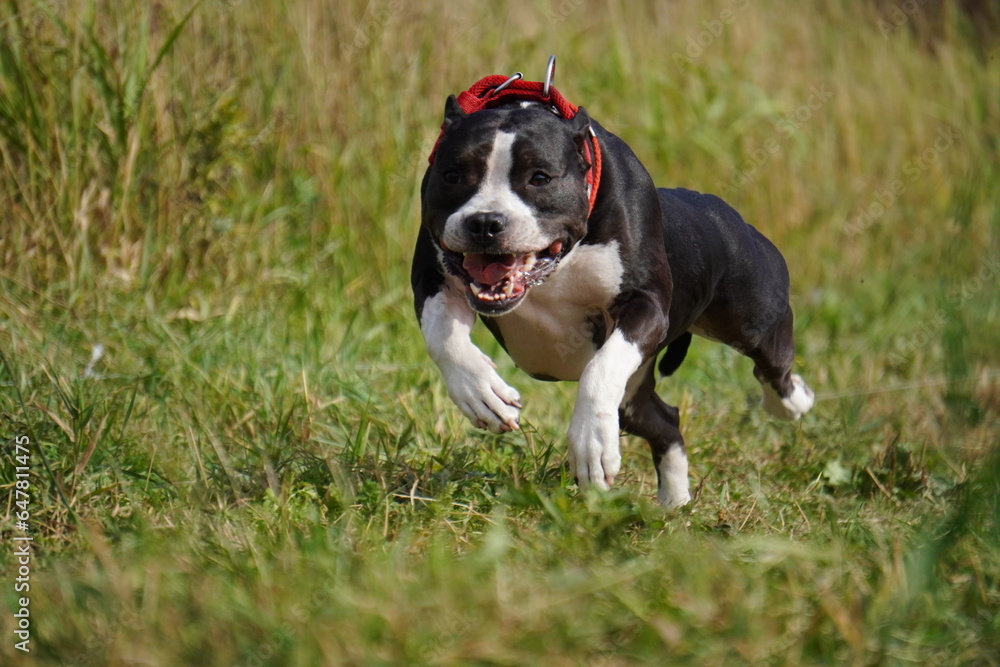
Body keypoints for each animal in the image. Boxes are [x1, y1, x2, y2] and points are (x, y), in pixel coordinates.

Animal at [410, 69, 808, 506]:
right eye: (451, 174)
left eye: (540, 178)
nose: (484, 222)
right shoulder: (433, 280)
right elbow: (443, 337)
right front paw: (481, 391)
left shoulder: (645, 304)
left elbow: (601, 368)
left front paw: (591, 444)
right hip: (633, 399)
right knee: (665, 420)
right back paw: (675, 502)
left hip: (752, 320)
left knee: (773, 364)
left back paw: (795, 400)